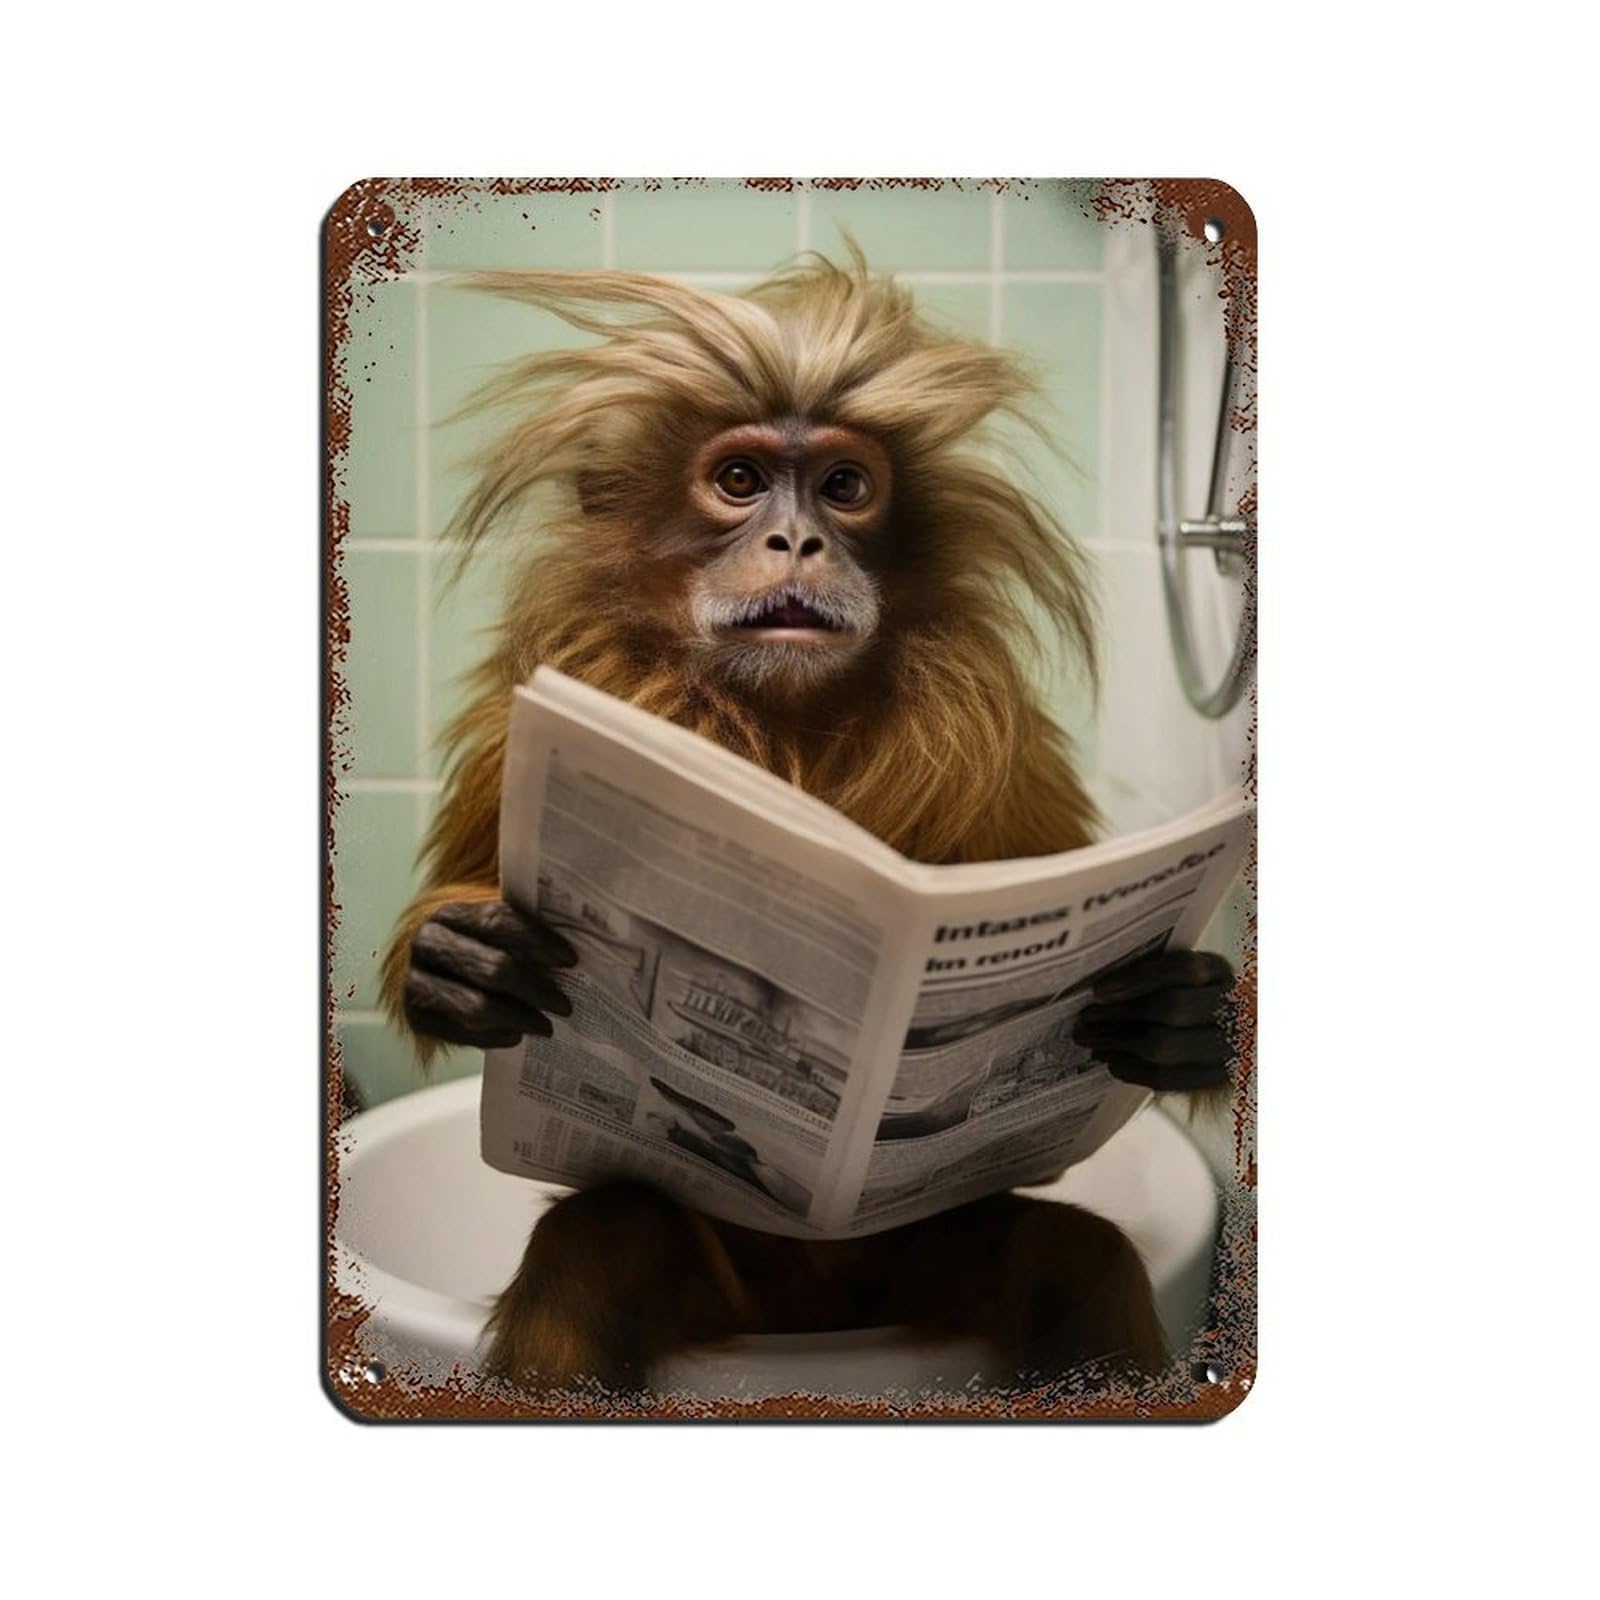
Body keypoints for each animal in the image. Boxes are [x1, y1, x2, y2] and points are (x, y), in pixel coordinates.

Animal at [380, 252, 1237, 1397]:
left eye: (844, 487)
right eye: (741, 482)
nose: (799, 539)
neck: (781, 724)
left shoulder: (1003, 749)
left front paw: (1183, 1018)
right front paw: (462, 965)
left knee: (1074, 1259)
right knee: (594, 1246)